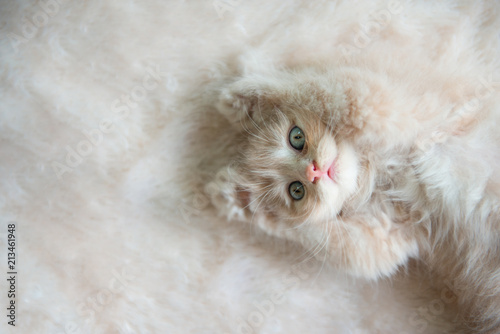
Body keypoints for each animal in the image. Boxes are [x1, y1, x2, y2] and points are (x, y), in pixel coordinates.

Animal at [206, 66, 500, 332]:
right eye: (297, 190)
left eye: (296, 138)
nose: (315, 171)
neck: (379, 176)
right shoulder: (385, 237)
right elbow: (318, 235)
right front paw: (237, 199)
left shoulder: (389, 108)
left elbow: (330, 94)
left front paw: (245, 98)